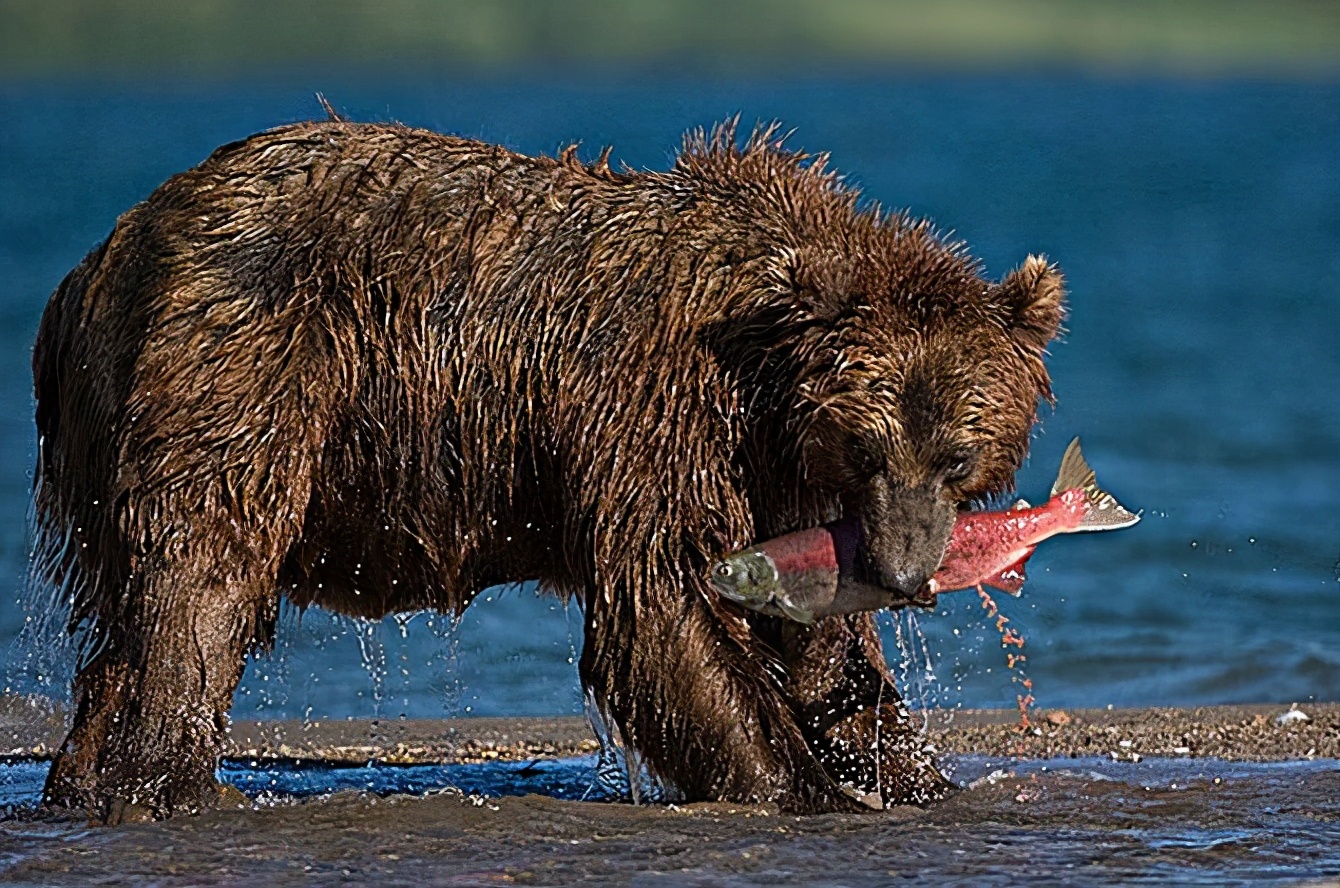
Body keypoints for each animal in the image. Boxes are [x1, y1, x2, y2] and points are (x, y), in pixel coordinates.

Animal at [31, 116, 1061, 819]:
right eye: (868, 443)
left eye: (957, 454)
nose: (906, 572)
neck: (764, 386)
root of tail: (104, 252)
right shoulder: (657, 415)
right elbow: (668, 608)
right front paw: (807, 786)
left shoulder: (777, 484)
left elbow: (818, 640)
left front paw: (911, 772)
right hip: (245, 360)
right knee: (202, 574)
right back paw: (167, 780)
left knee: (126, 617)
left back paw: (82, 778)